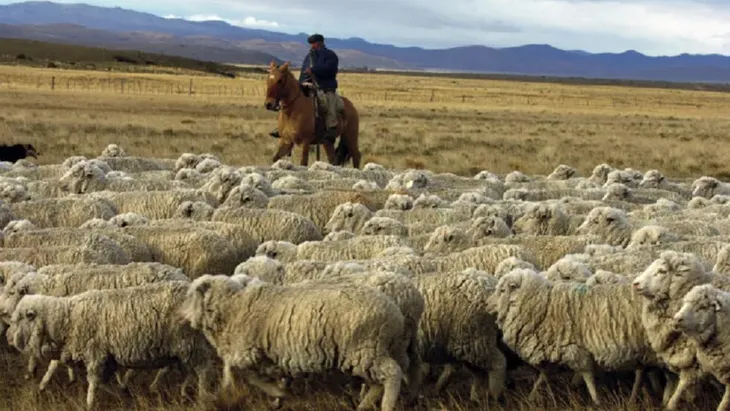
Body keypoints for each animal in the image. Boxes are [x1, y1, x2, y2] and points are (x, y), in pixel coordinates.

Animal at [8, 282, 215, 409]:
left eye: (21, 318)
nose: (8, 338)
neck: (67, 318)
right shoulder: (107, 358)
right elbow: (104, 382)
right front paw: (123, 394)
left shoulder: (95, 354)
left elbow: (93, 382)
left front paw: (89, 404)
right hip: (183, 348)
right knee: (188, 370)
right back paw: (183, 392)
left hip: (190, 343)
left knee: (204, 370)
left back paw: (203, 397)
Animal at [178, 274, 409, 411]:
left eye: (189, 295)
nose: (181, 317)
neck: (233, 308)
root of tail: (395, 314)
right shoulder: (268, 357)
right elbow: (267, 376)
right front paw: (279, 398)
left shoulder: (247, 352)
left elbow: (246, 375)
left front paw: (278, 393)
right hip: (372, 352)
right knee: (378, 382)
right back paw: (364, 405)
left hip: (364, 349)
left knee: (393, 374)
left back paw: (387, 405)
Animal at [487, 268, 657, 406]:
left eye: (502, 290)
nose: (486, 304)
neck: (545, 306)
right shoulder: (553, 349)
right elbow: (544, 375)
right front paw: (532, 396)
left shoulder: (577, 351)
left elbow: (588, 378)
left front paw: (596, 402)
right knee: (641, 372)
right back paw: (635, 397)